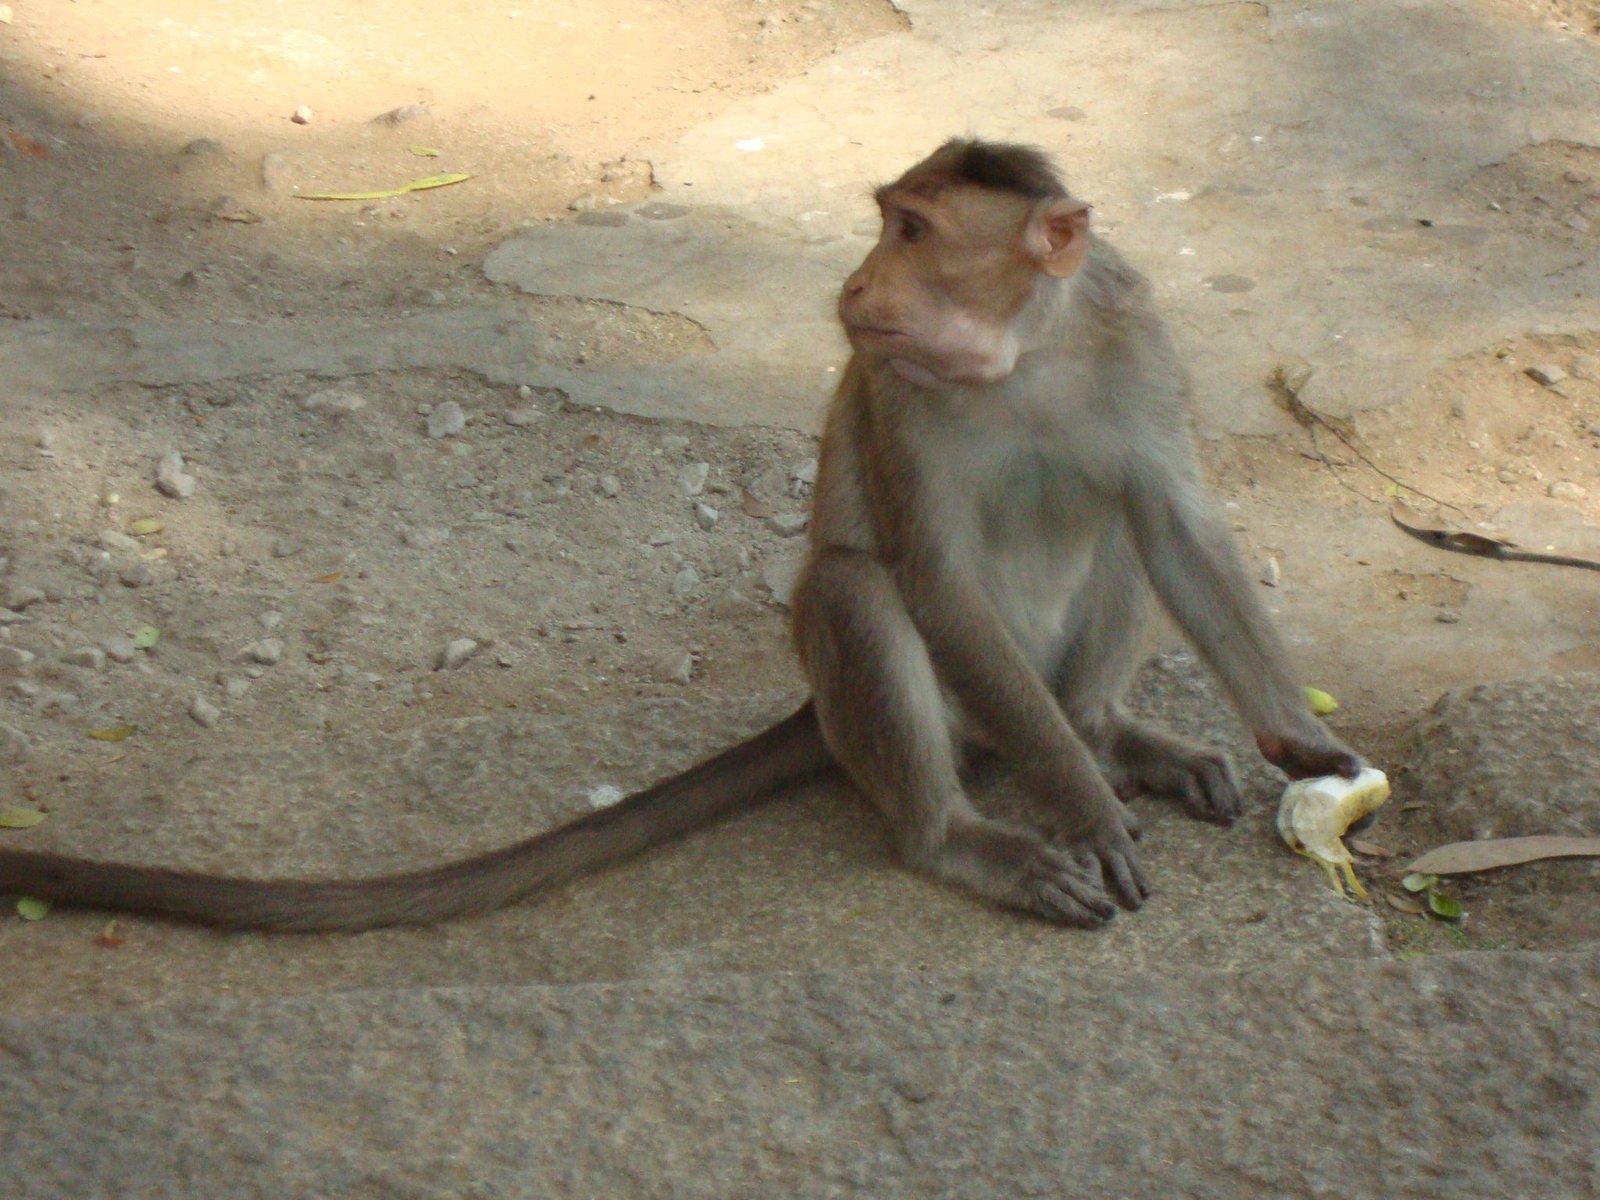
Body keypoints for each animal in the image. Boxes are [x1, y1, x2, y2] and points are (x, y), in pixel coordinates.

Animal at [0, 139, 1358, 932]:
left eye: (914, 233)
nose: (855, 285)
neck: (1020, 354)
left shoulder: (1135, 339)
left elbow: (1173, 520)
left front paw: (1297, 742)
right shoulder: (898, 395)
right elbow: (930, 577)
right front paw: (1081, 812)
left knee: (1117, 527)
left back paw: (1102, 729)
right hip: (941, 710)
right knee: (856, 592)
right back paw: (968, 834)